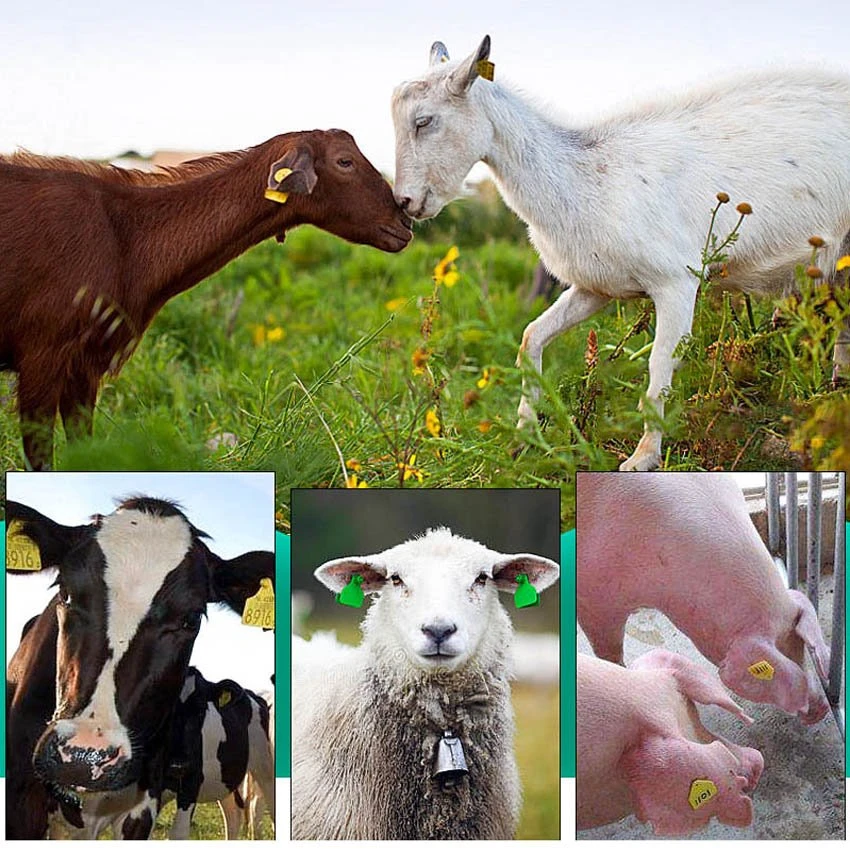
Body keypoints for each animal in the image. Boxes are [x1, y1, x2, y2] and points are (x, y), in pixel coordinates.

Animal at [0, 130, 412, 469]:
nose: (404, 222)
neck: (125, 236)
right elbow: (41, 459)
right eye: (344, 161)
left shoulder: (85, 363)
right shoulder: (43, 355)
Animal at [391, 36, 850, 471]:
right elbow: (530, 337)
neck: (584, 177)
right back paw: (836, 392)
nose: (404, 202)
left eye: (424, 121)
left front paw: (643, 457)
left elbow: (659, 364)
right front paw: (523, 437)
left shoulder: (677, 281)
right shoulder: (595, 287)